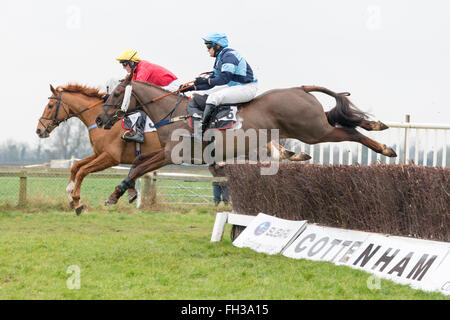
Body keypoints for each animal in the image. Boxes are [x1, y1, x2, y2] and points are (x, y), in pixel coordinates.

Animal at [36, 84, 163, 215]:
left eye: (50, 105)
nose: (39, 130)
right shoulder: (99, 153)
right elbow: (75, 166)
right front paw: (70, 196)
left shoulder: (111, 157)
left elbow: (82, 171)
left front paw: (77, 202)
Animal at [96, 73, 398, 205]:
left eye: (115, 94)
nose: (100, 120)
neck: (173, 113)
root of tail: (300, 88)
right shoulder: (165, 153)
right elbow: (138, 164)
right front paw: (122, 192)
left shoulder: (173, 154)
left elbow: (139, 167)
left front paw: (116, 193)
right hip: (312, 125)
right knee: (339, 118)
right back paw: (376, 126)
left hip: (313, 131)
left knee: (349, 131)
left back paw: (384, 146)